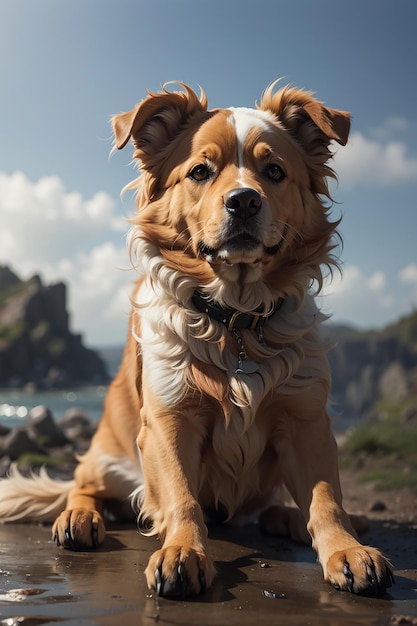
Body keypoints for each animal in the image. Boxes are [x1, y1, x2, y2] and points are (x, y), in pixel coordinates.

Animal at [0, 81, 394, 596]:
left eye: (274, 171)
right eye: (200, 171)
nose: (244, 200)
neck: (237, 321)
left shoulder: (306, 419)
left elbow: (326, 498)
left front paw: (346, 549)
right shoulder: (170, 418)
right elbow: (181, 496)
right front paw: (183, 550)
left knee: (270, 506)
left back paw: (287, 518)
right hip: (107, 456)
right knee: (83, 486)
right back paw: (79, 519)